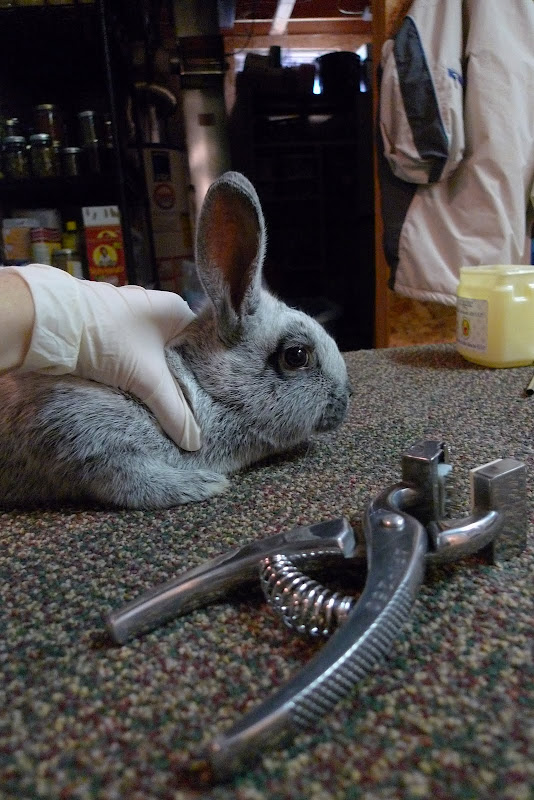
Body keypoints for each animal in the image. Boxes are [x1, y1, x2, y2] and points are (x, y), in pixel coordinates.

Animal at [0, 172, 351, 510]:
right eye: (297, 355)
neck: (203, 388)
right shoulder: (76, 424)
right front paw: (200, 484)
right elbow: (120, 476)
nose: (346, 399)